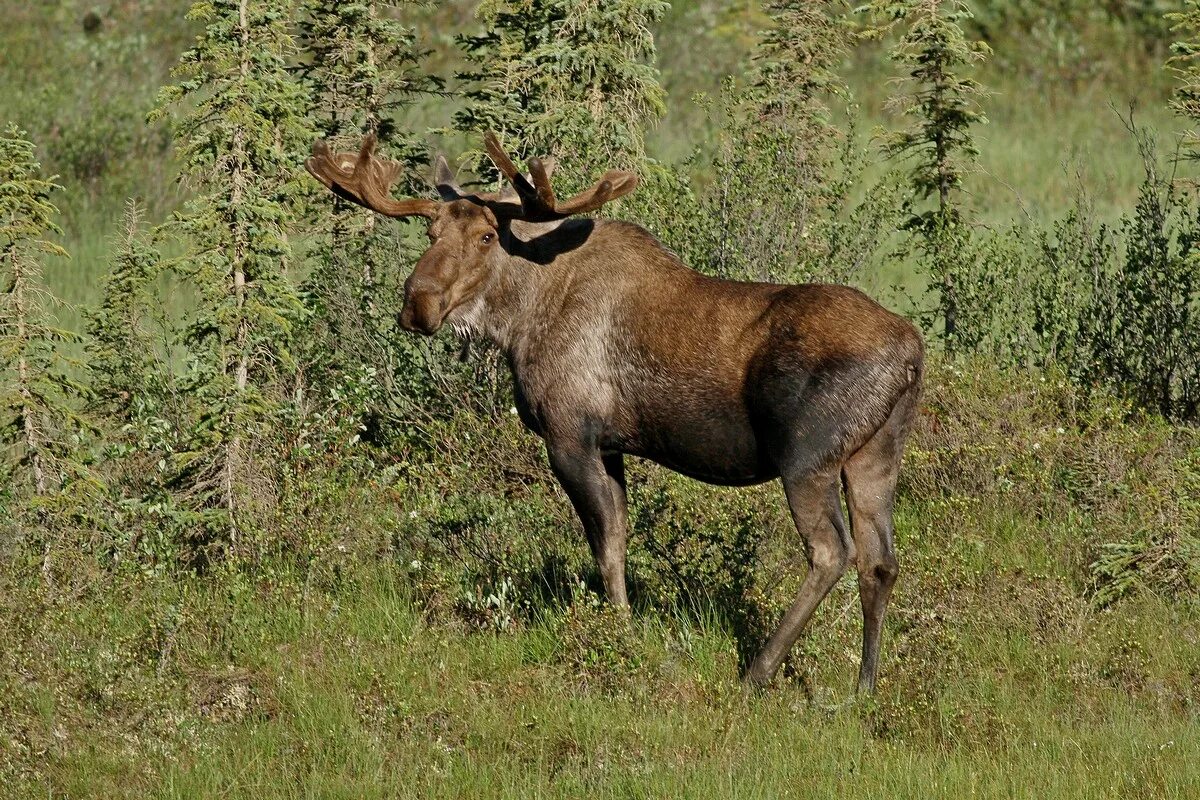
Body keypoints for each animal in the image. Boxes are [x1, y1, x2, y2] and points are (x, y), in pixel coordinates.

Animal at [304, 133, 921, 695]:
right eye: (430, 233)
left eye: (486, 236)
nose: (418, 304)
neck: (520, 319)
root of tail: (912, 354)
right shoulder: (612, 445)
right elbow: (620, 537)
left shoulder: (569, 436)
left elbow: (606, 546)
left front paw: (621, 637)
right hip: (874, 455)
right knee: (880, 561)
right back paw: (864, 687)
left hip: (807, 457)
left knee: (831, 552)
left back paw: (757, 671)